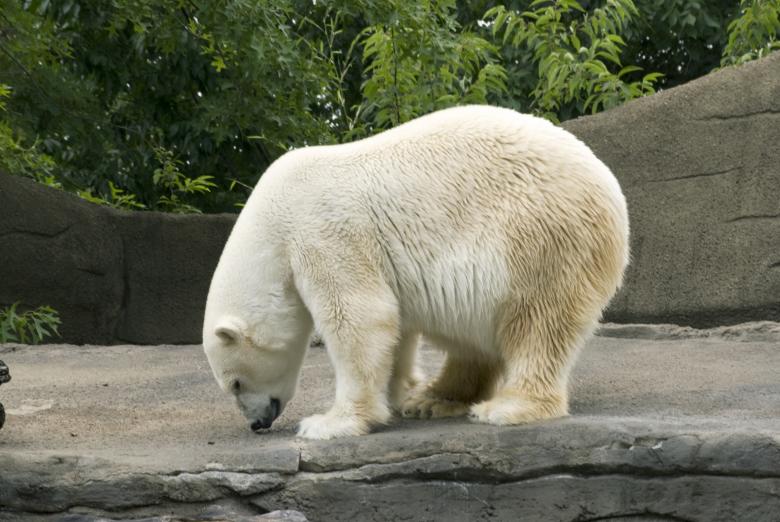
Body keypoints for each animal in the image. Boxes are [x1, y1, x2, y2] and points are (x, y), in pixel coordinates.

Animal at [202, 105, 629, 440]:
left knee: (538, 323)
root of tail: (611, 187)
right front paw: (396, 392)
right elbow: (395, 323)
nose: (257, 423)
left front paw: (329, 423)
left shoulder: (324, 232)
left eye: (235, 382)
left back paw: (506, 407)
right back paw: (433, 399)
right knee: (471, 336)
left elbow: (359, 317)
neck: (272, 222)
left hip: (540, 238)